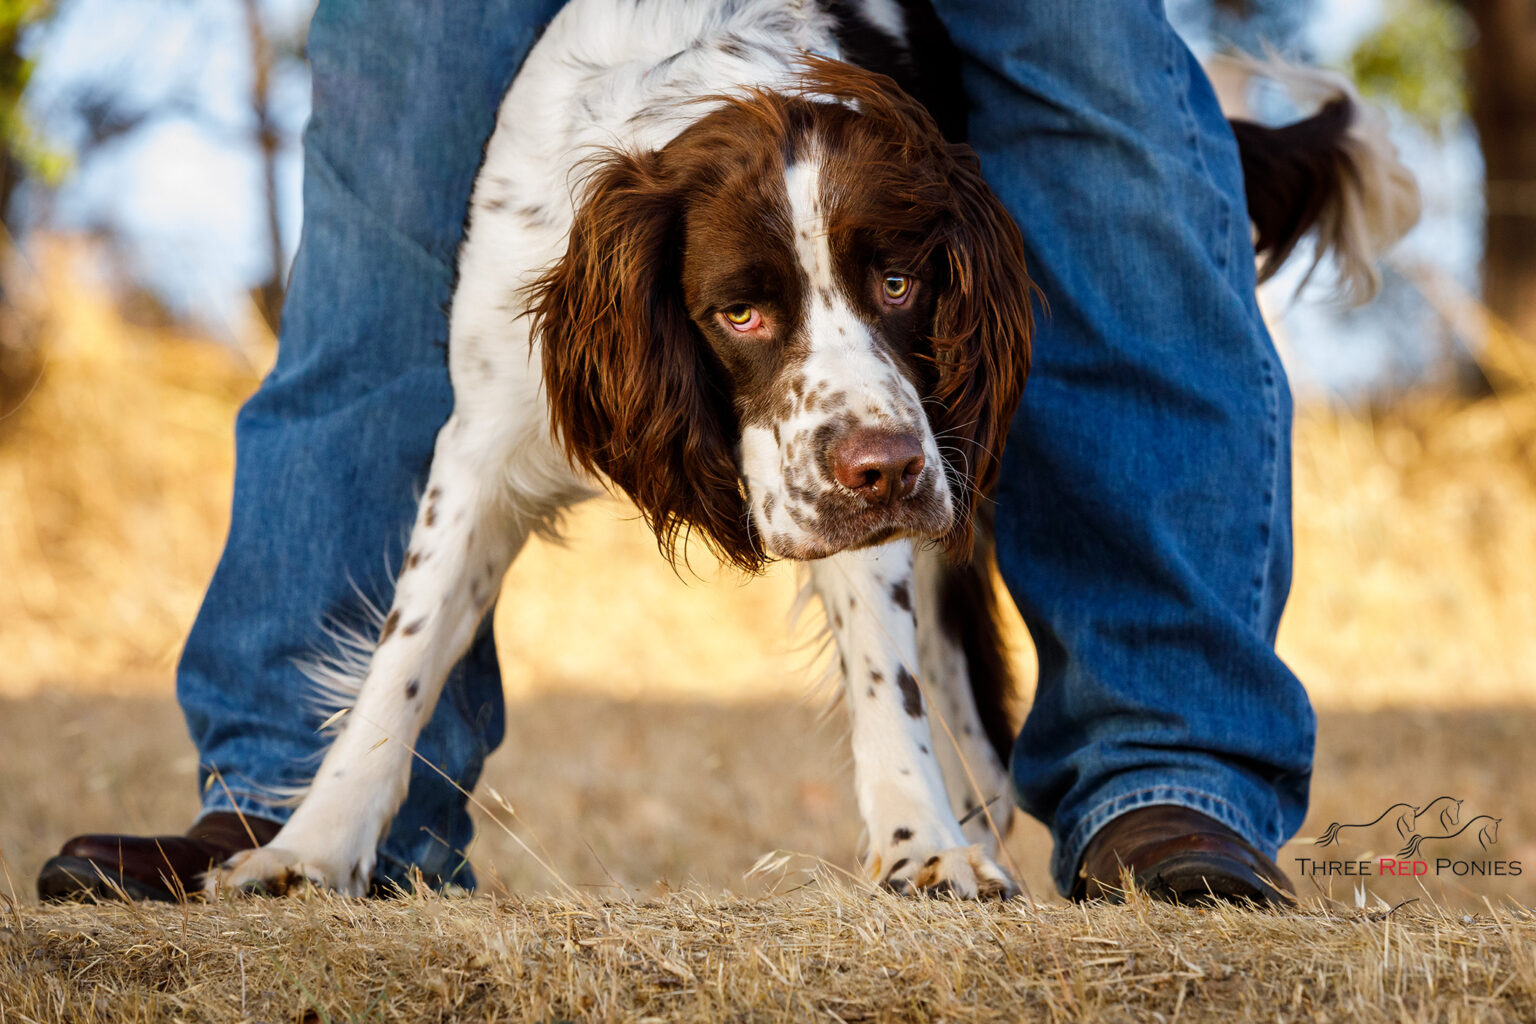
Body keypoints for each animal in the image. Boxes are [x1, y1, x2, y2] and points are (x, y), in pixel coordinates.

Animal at [207, 0, 1413, 896]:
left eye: (901, 281)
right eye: (738, 312)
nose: (882, 471)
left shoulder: (894, 471)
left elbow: (887, 666)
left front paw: (921, 848)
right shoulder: (486, 436)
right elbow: (406, 654)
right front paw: (308, 848)